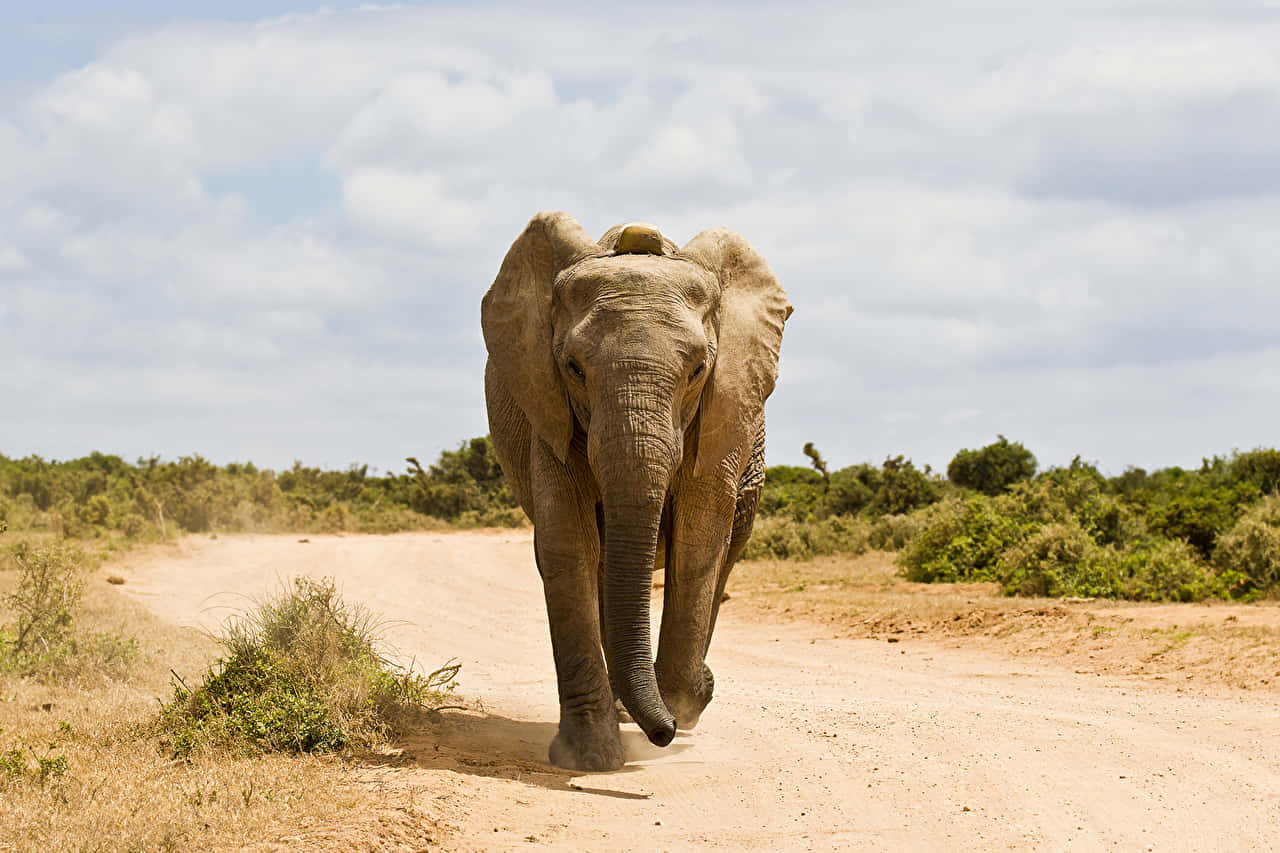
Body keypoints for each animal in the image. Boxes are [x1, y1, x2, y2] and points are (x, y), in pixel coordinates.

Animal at [480, 211, 791, 771]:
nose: (663, 734)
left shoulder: (721, 413)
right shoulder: (550, 410)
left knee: (726, 550)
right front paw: (589, 759)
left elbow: (699, 542)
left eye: (698, 370)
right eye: (574, 368)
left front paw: (689, 698)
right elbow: (568, 544)